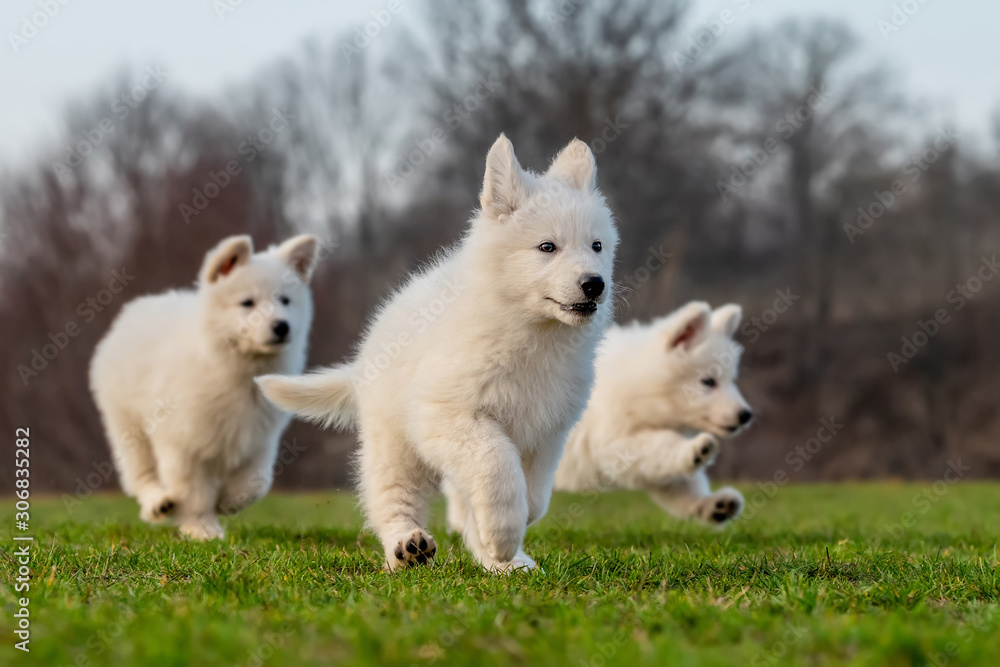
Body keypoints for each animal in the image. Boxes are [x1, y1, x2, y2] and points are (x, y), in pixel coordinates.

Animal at [90, 237, 318, 540]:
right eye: (247, 303)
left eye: (285, 300)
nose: (282, 326)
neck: (240, 369)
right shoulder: (184, 441)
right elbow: (193, 491)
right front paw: (202, 530)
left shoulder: (259, 437)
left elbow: (255, 482)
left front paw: (227, 501)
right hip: (127, 423)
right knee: (140, 473)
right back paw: (157, 503)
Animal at [258, 137, 616, 576]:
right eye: (547, 247)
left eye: (597, 246)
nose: (595, 284)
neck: (531, 332)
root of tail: (362, 362)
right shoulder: (448, 415)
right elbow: (498, 464)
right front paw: (502, 532)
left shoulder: (547, 432)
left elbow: (532, 493)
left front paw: (503, 541)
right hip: (395, 446)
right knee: (392, 499)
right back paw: (406, 548)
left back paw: (503, 561)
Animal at [552, 302, 752, 528]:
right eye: (708, 382)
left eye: (731, 381)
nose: (746, 415)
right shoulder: (614, 441)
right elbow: (661, 444)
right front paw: (693, 449)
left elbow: (677, 479)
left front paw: (712, 504)